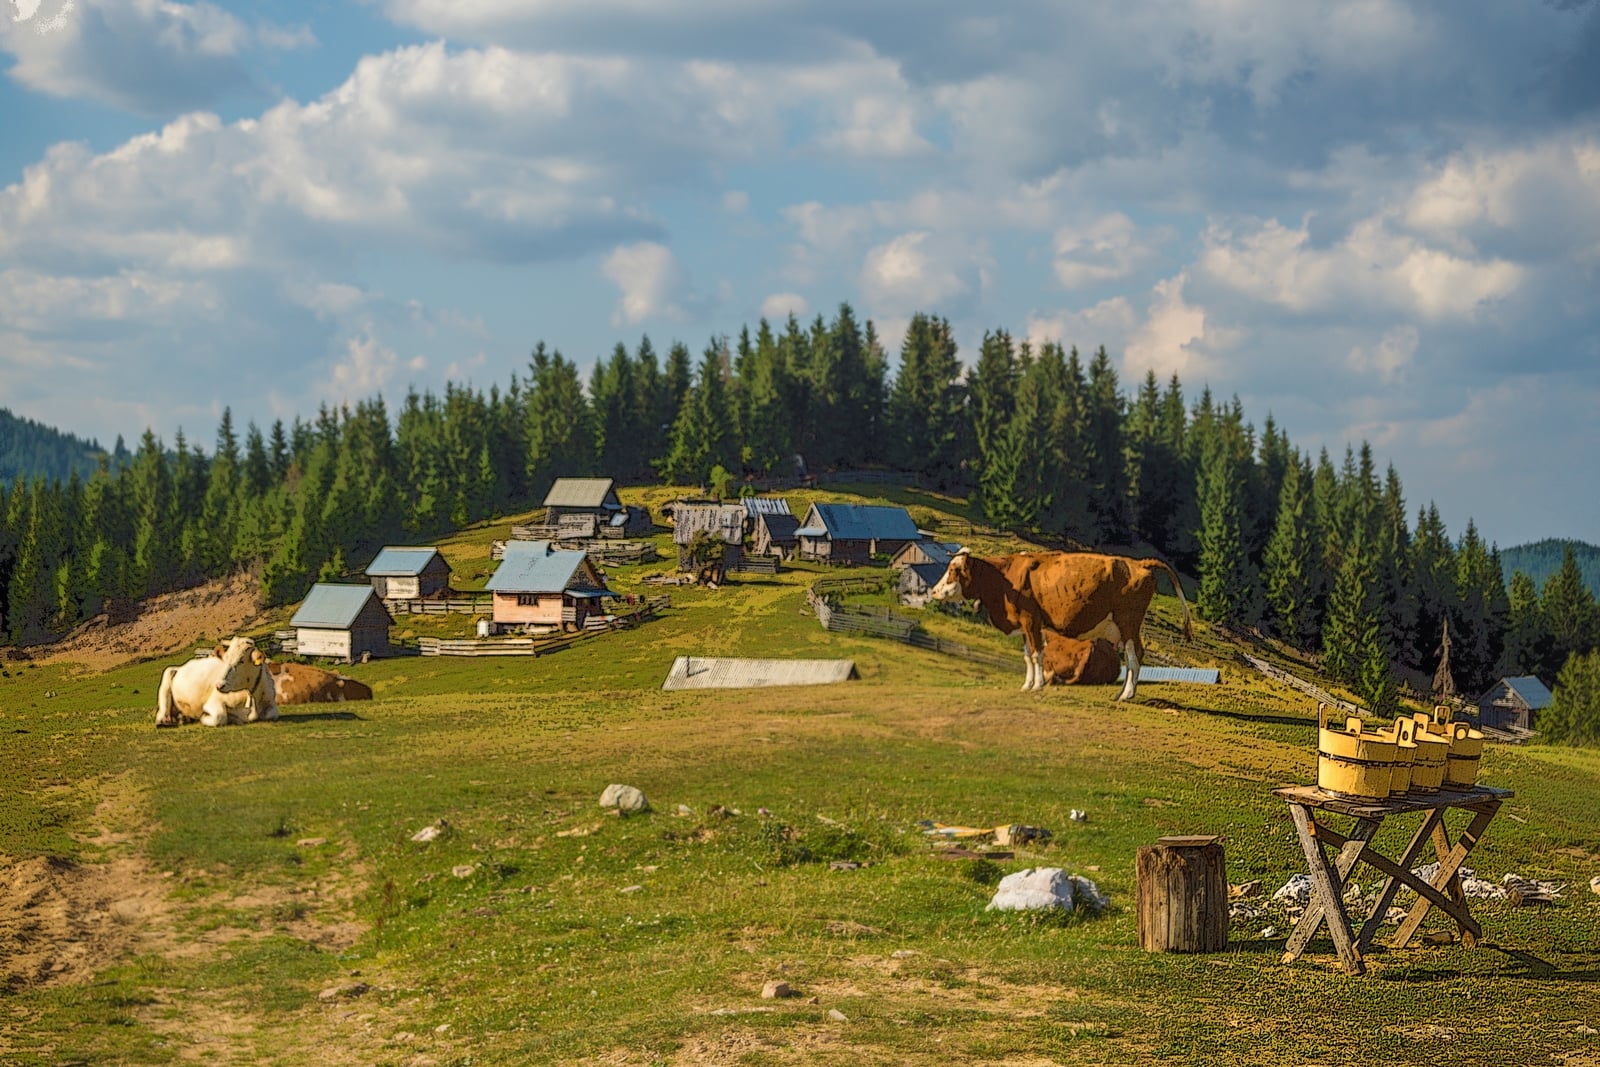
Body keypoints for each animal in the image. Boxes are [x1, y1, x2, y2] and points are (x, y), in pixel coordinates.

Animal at [928, 550, 1190, 700]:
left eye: (954, 570)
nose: (934, 591)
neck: (1005, 579)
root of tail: (1140, 563)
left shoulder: (1031, 619)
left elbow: (1037, 654)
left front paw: (1037, 685)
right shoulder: (1025, 624)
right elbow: (1028, 656)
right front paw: (1027, 685)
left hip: (1128, 623)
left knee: (1134, 656)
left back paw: (1126, 694)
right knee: (1134, 655)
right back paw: (1123, 692)